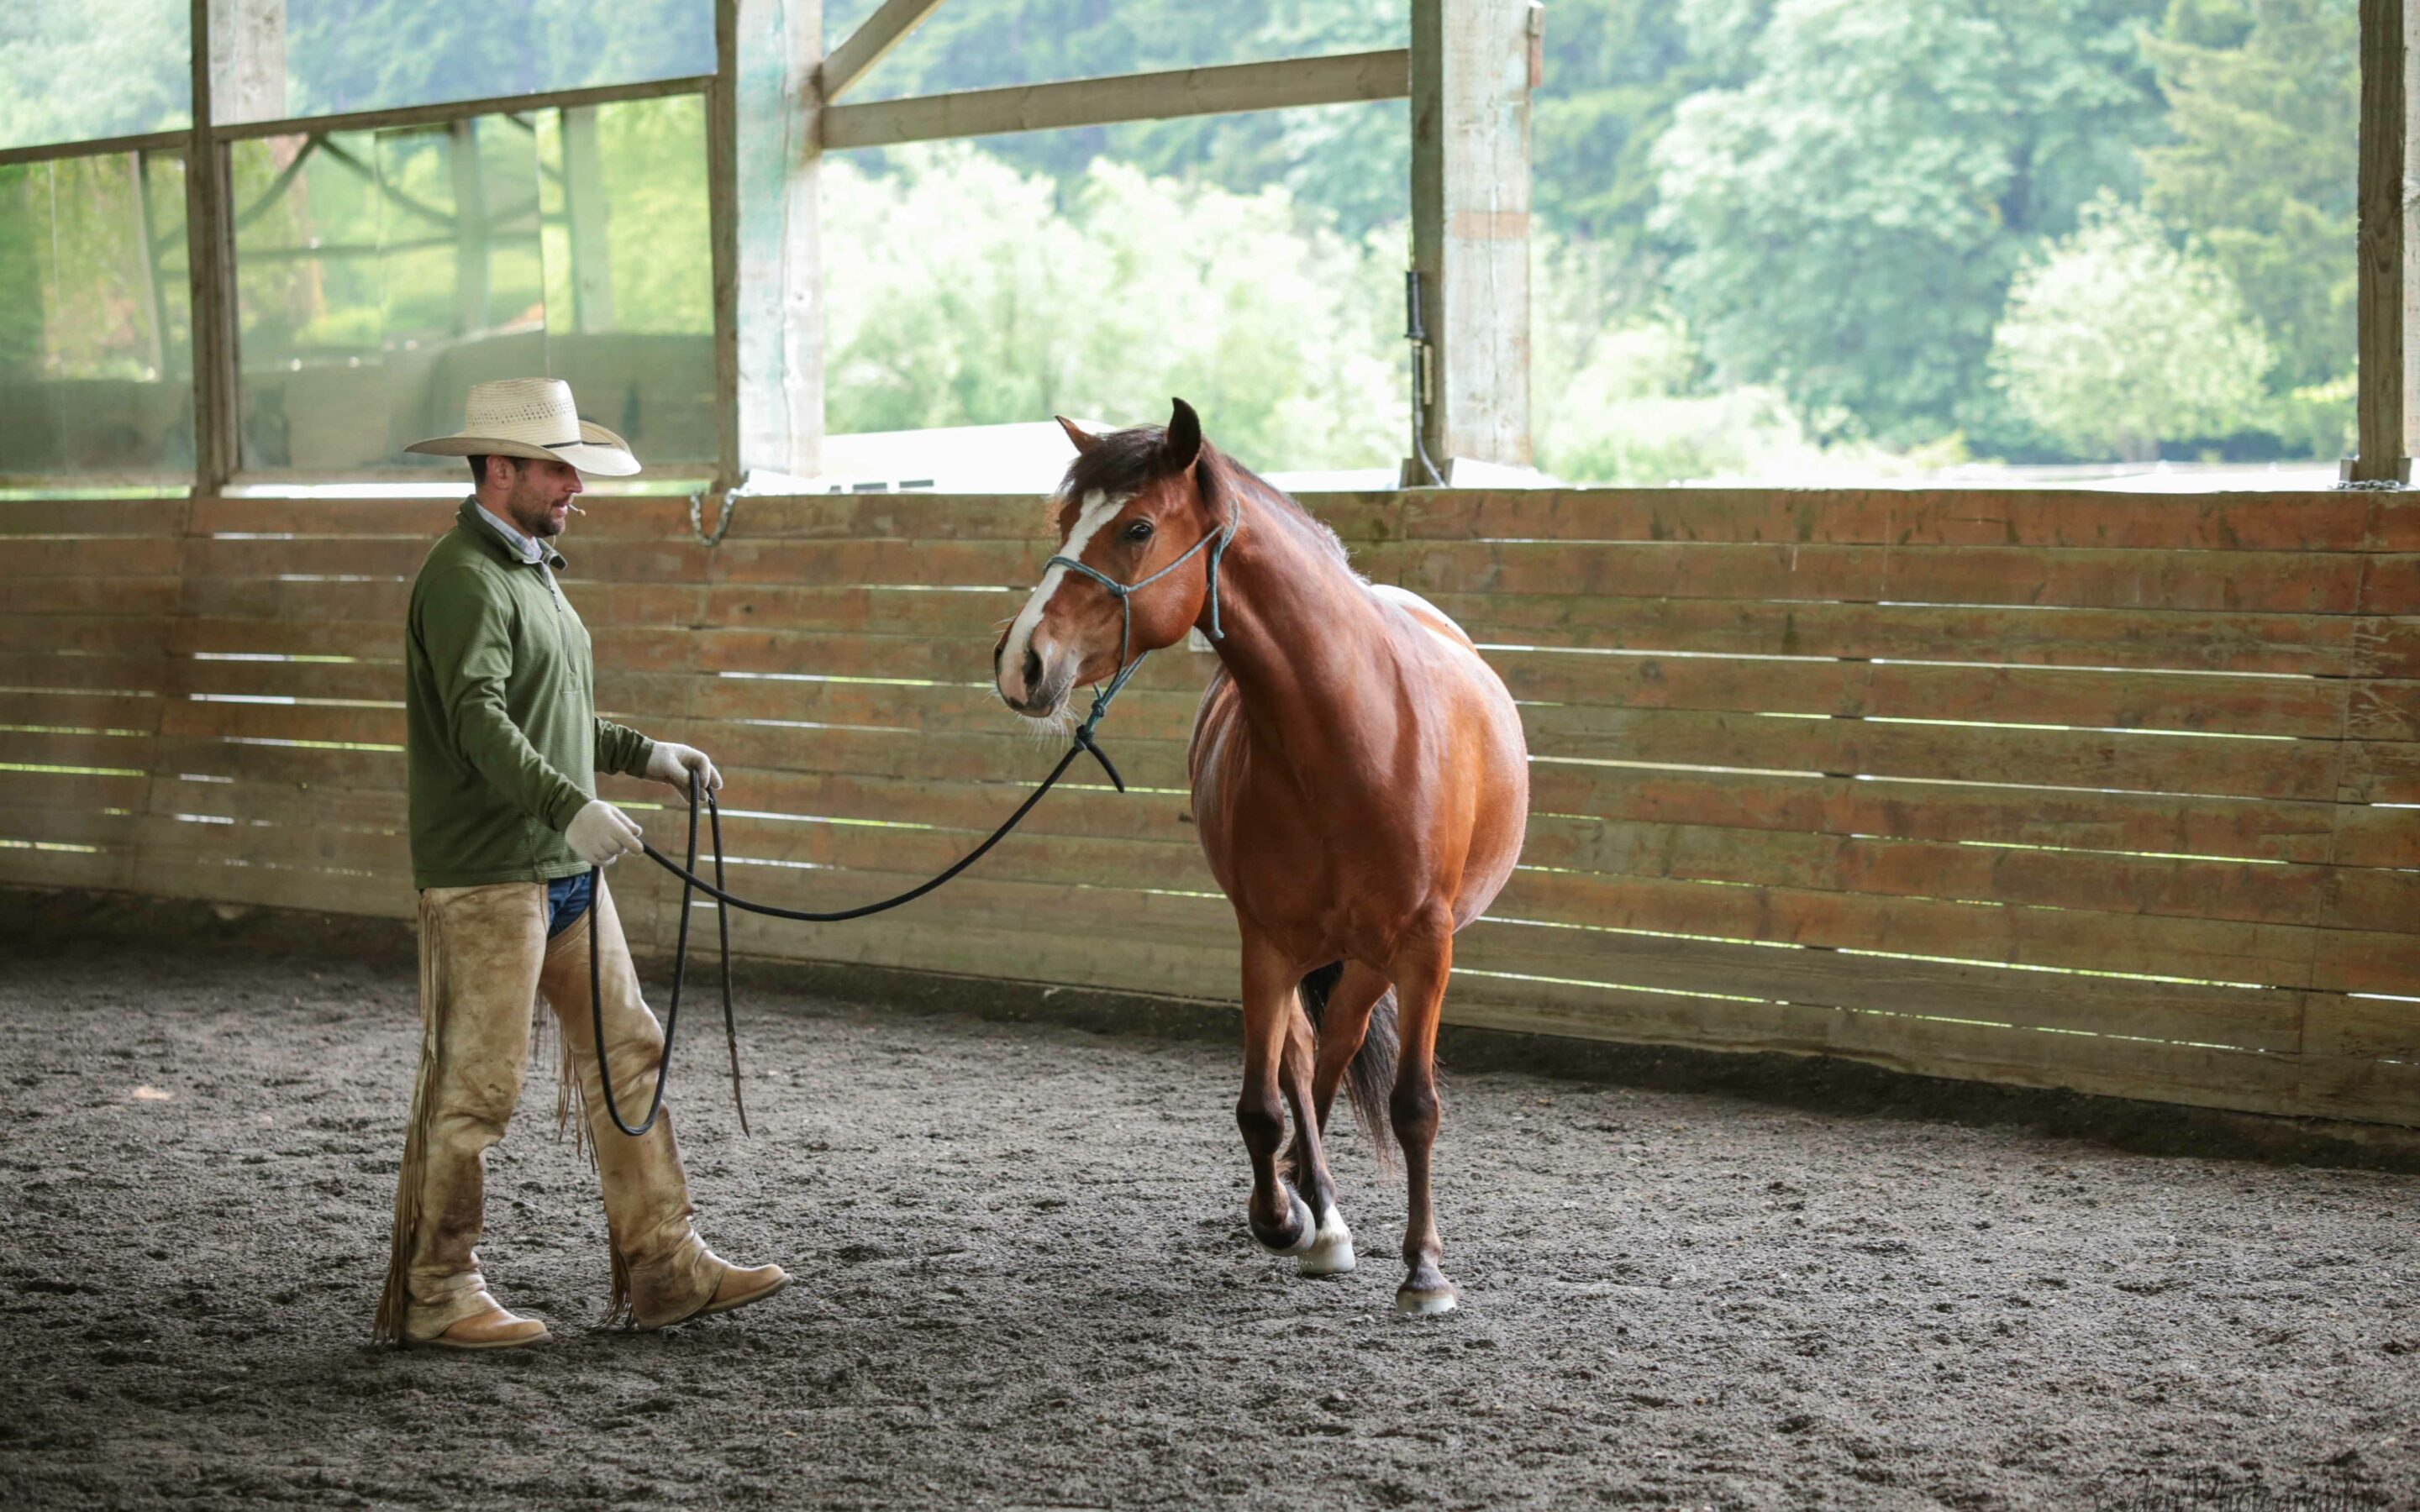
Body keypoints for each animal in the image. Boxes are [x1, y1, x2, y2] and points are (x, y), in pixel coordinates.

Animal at [987, 402, 1519, 1306]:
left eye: (1137, 527)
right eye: (1065, 522)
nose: (1022, 661)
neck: (1351, 734)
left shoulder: (1426, 946)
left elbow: (1415, 1106)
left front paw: (1423, 1269)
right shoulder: (1264, 943)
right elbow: (1263, 1106)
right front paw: (1283, 1217)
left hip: (1370, 957)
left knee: (1336, 1050)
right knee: (1307, 1060)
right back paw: (1317, 1208)